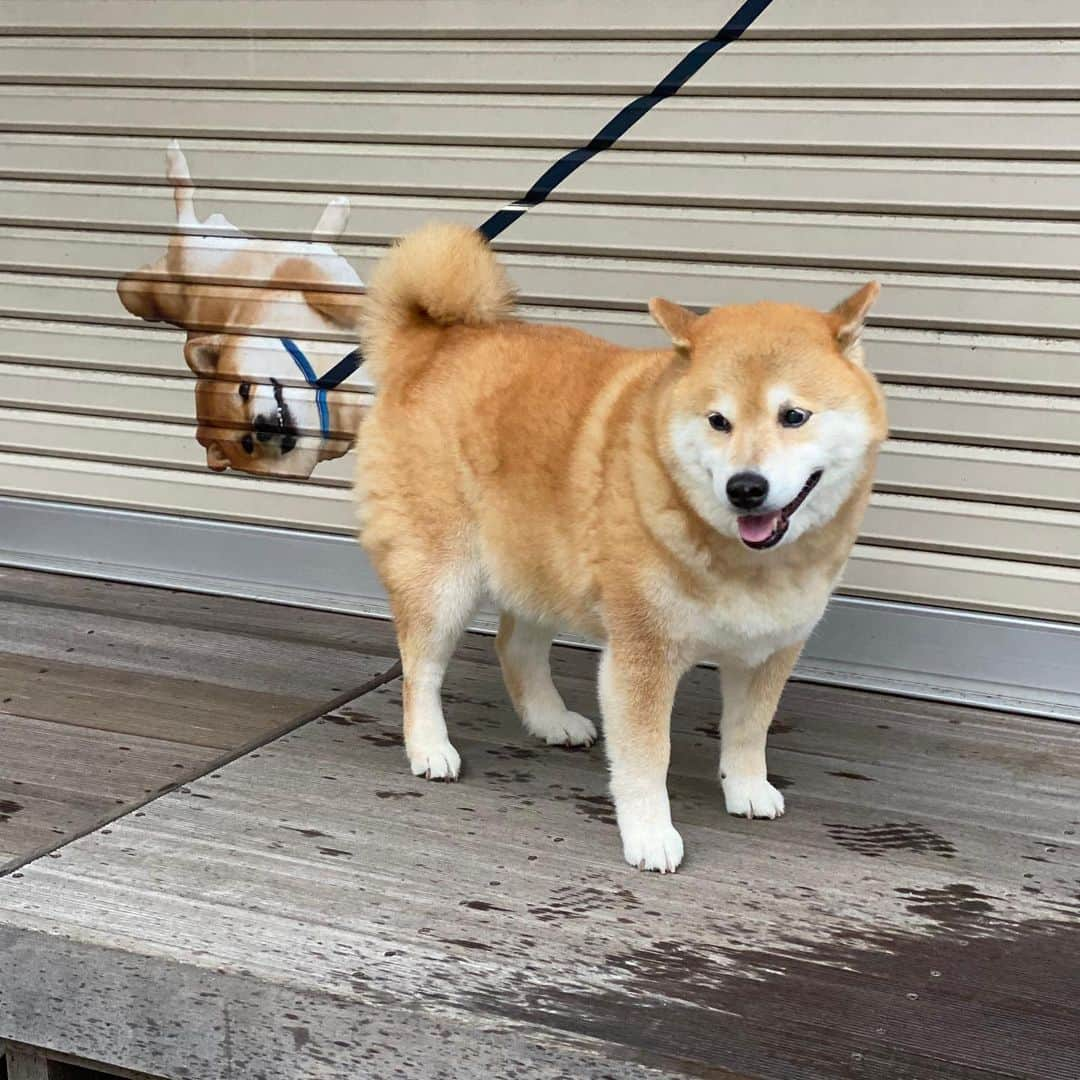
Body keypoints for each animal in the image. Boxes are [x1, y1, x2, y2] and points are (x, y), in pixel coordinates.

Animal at [119, 141, 367, 479]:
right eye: (247, 444)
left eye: (244, 388)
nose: (262, 427)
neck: (323, 386)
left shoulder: (300, 279)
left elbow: (343, 297)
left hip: (199, 249)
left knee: (186, 203)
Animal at [356, 223, 885, 872]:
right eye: (718, 421)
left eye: (794, 416)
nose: (745, 487)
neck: (747, 563)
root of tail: (431, 345)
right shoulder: (642, 654)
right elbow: (645, 759)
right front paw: (650, 834)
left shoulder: (769, 648)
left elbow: (747, 731)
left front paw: (747, 788)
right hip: (444, 579)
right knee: (421, 671)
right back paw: (430, 747)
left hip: (543, 562)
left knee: (515, 647)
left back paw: (550, 720)